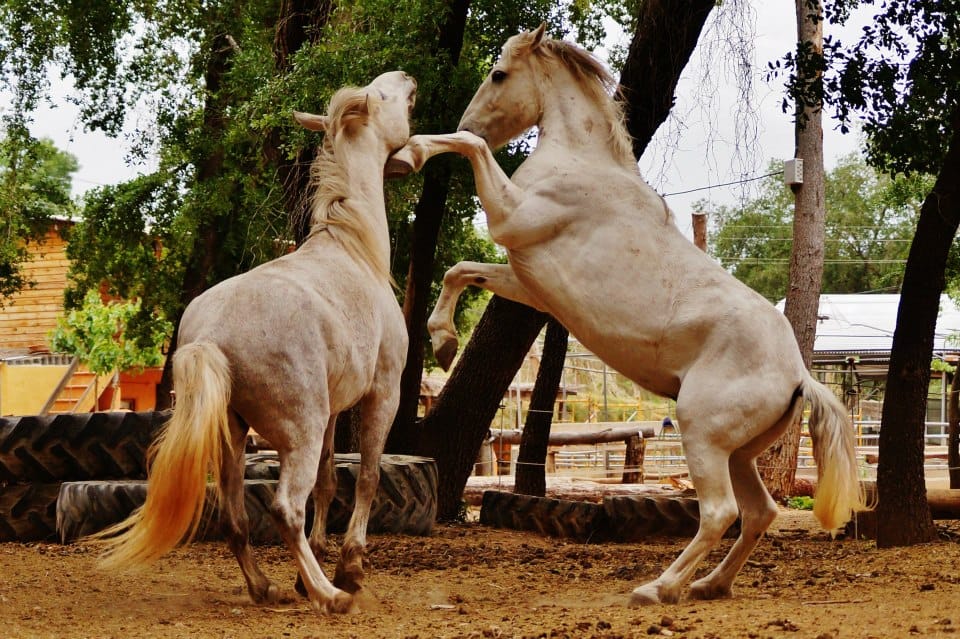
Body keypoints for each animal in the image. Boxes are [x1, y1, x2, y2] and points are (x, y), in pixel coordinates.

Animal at [91, 70, 416, 614]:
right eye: (382, 95)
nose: (407, 79)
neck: (353, 250)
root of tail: (212, 336)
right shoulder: (381, 393)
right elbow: (367, 477)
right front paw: (348, 569)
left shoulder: (333, 411)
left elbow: (329, 482)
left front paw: (314, 567)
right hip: (297, 434)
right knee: (285, 507)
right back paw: (329, 595)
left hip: (235, 435)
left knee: (236, 517)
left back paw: (268, 587)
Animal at [388, 26, 867, 605]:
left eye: (499, 74)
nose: (469, 119)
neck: (580, 165)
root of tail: (799, 375)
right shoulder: (531, 285)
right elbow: (461, 271)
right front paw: (443, 342)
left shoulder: (513, 219)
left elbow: (471, 157)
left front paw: (410, 153)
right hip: (737, 453)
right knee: (759, 512)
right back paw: (709, 585)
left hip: (701, 435)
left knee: (720, 512)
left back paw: (658, 588)